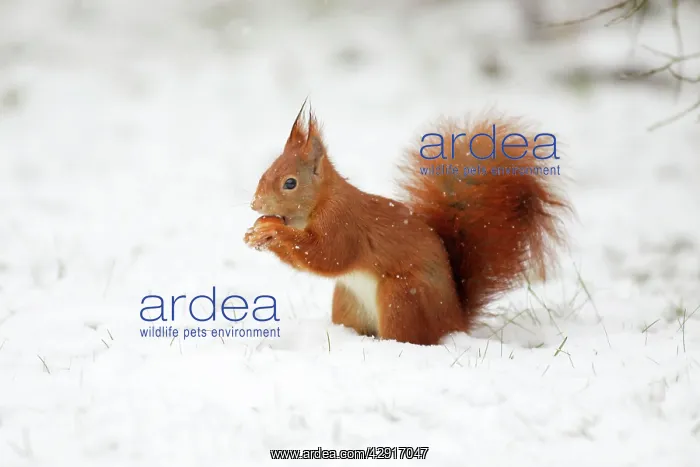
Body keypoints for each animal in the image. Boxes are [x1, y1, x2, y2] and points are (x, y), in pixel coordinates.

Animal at [244, 102, 569, 345]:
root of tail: (454, 322)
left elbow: (328, 256)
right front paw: (257, 232)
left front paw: (274, 231)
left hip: (401, 298)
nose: (255, 205)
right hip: (347, 301)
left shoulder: (343, 224)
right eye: (265, 172)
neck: (321, 202)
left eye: (290, 183)